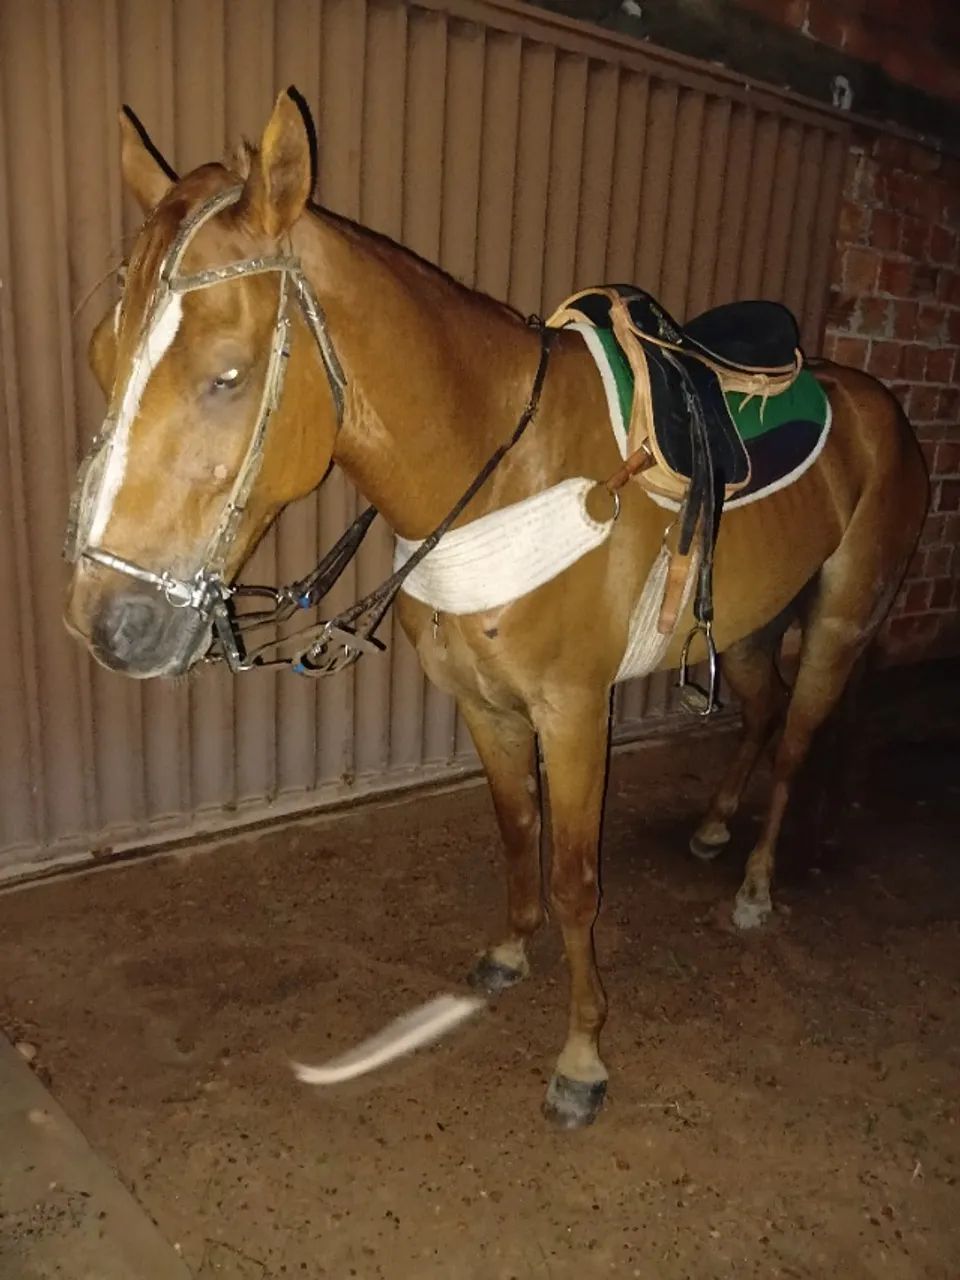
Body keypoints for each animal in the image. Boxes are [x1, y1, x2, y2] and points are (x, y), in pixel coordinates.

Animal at [64, 91, 928, 1128]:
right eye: (101, 357)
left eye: (227, 375)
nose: (111, 625)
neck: (500, 470)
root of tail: (878, 406)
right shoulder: (483, 707)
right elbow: (520, 834)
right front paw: (510, 954)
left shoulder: (574, 714)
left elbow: (576, 880)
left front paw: (582, 1057)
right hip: (752, 626)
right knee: (758, 713)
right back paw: (716, 828)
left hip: (837, 624)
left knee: (795, 744)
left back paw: (756, 885)